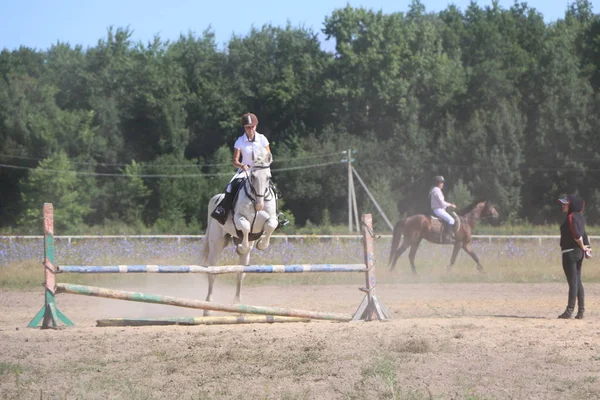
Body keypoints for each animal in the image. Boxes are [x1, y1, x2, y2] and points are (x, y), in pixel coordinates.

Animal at [200, 147, 278, 312]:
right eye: (253, 176)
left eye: (268, 177)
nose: (260, 205)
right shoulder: (239, 218)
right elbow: (246, 226)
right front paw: (243, 246)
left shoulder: (271, 218)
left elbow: (270, 225)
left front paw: (262, 244)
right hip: (216, 243)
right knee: (212, 273)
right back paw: (208, 306)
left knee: (240, 272)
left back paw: (237, 302)